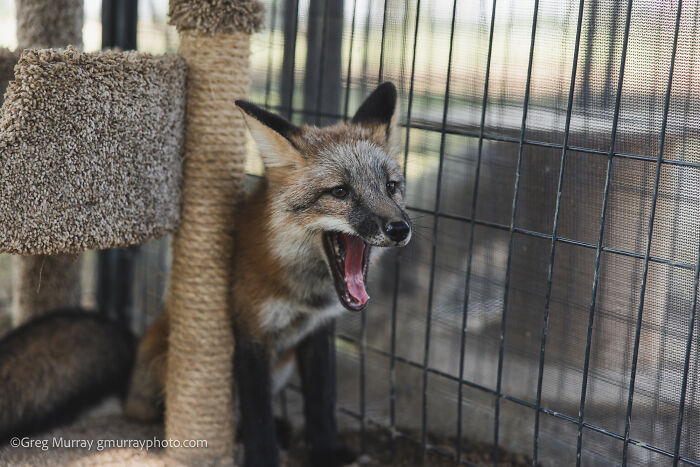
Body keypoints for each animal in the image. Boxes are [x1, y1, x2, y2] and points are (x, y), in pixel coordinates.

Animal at [123, 82, 412, 467]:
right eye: (340, 191)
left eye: (391, 187)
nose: (399, 228)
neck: (303, 294)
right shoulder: (251, 332)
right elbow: (257, 411)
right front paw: (263, 455)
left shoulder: (318, 330)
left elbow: (322, 400)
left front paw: (326, 452)